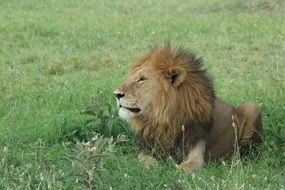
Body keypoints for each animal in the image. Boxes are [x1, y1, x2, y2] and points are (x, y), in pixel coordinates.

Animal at [113, 45, 262, 172]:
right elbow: (145, 160)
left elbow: (183, 169)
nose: (116, 94)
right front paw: (155, 166)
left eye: (141, 79)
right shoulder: (146, 148)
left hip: (253, 106)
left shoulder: (197, 153)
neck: (164, 120)